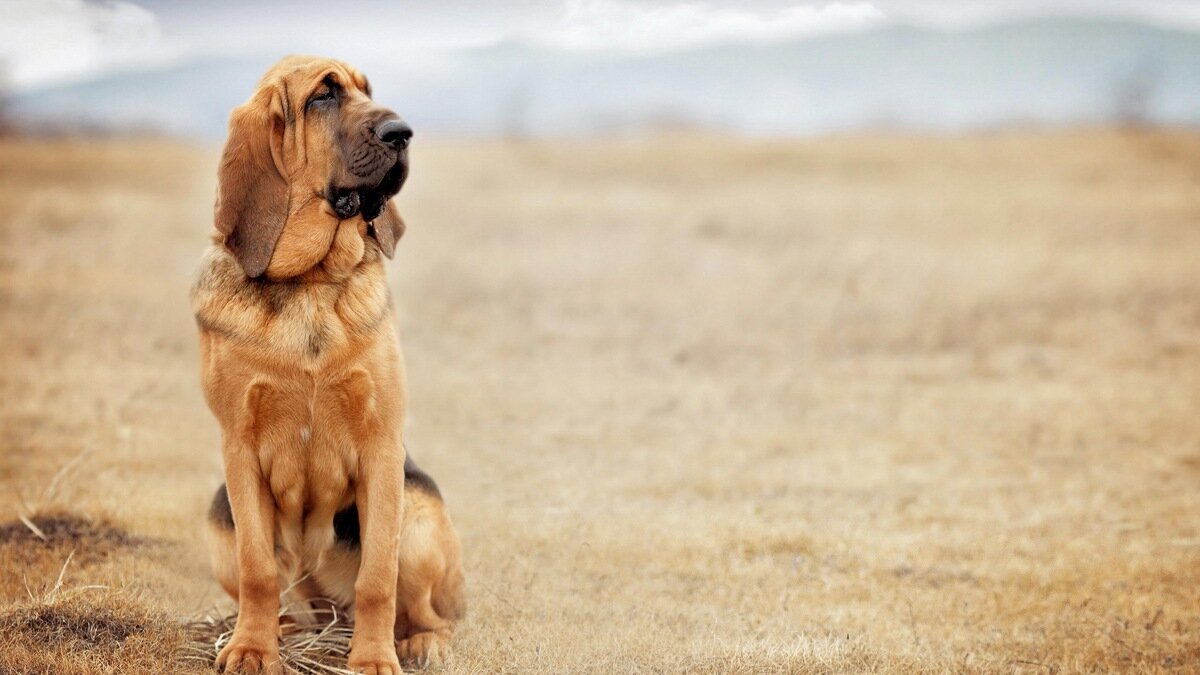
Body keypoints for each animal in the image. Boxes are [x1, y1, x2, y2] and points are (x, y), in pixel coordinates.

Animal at [190, 55, 463, 667]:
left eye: (368, 90)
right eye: (323, 96)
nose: (403, 133)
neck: (311, 283)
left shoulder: (381, 446)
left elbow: (377, 578)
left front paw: (373, 659)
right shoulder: (238, 448)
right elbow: (259, 569)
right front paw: (252, 649)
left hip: (418, 507)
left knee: (427, 611)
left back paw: (419, 642)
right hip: (220, 521)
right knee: (282, 594)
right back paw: (282, 632)